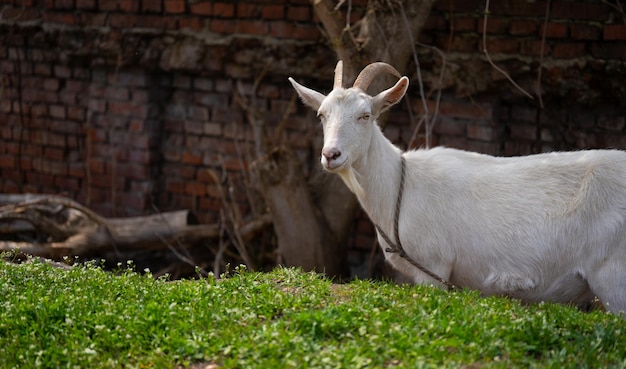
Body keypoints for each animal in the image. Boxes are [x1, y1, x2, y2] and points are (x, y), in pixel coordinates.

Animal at [290, 60, 624, 314]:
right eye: (321, 115)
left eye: (365, 115)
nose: (331, 155)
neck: (400, 185)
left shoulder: (434, 268)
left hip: (612, 276)